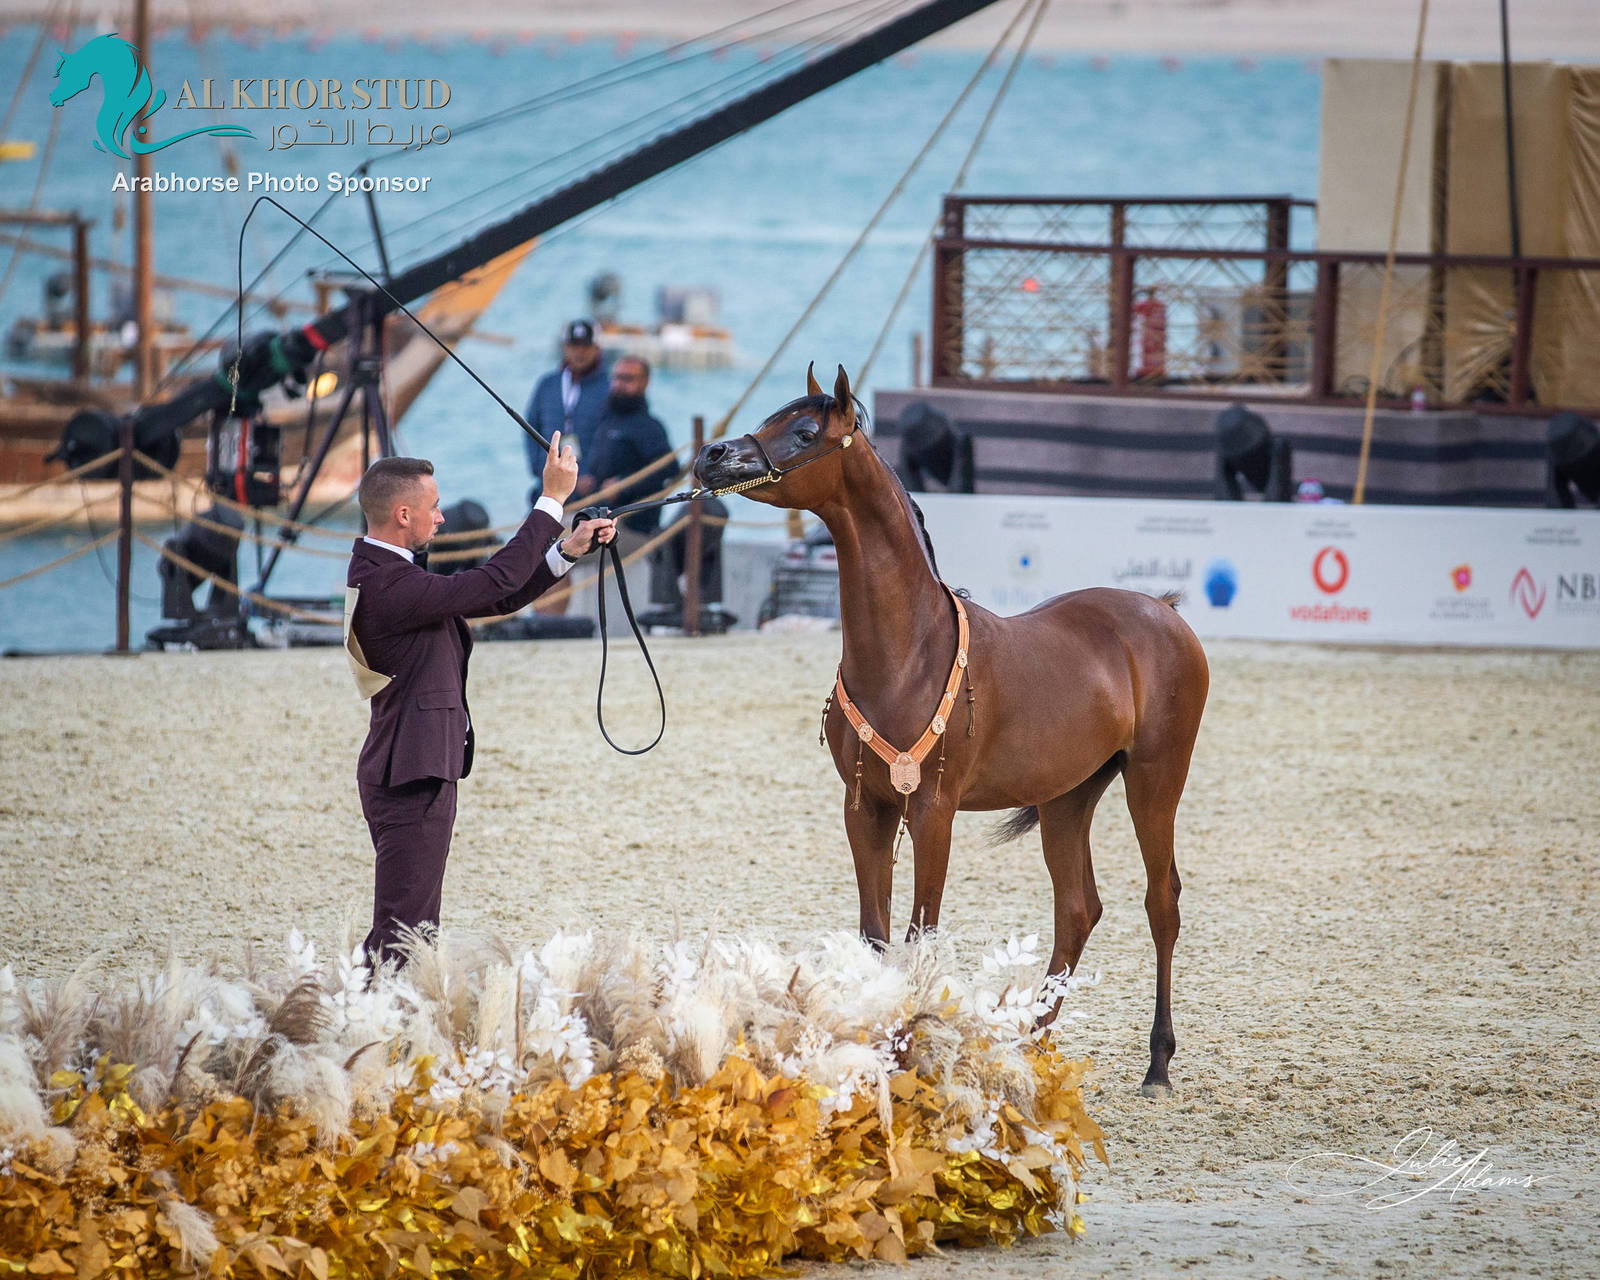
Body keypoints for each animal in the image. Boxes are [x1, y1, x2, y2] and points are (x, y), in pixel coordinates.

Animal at [694, 365, 1210, 1095]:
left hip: (1155, 782)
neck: (907, 650)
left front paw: (908, 1054)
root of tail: (1163, 611)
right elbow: (875, 934)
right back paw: (1027, 1049)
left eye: (804, 430)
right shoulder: (866, 807)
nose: (713, 456)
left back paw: (1157, 1065)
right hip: (1067, 797)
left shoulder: (932, 810)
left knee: (1160, 902)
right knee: (1077, 909)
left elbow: (921, 935)